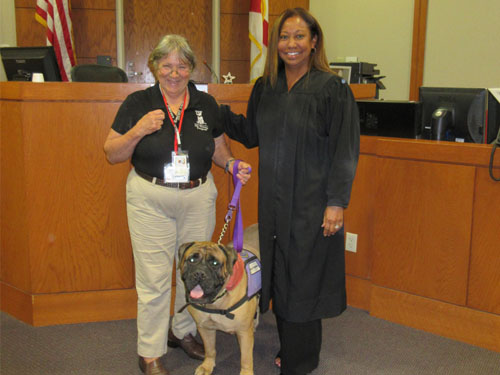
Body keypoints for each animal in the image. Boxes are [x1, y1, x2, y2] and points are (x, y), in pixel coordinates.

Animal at [177, 223, 262, 375]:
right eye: (191, 260)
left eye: (215, 263)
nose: (199, 273)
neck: (216, 302)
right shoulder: (204, 327)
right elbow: (210, 349)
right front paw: (207, 365)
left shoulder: (243, 332)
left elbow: (246, 358)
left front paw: (246, 372)